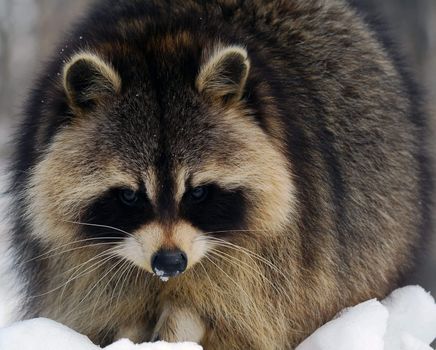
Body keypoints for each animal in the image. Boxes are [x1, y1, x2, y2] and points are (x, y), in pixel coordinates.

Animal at [8, 0, 430, 348]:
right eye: (129, 195)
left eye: (197, 192)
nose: (170, 263)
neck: (162, 39)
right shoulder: (78, 267)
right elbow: (104, 305)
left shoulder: (271, 262)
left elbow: (232, 314)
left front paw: (179, 326)